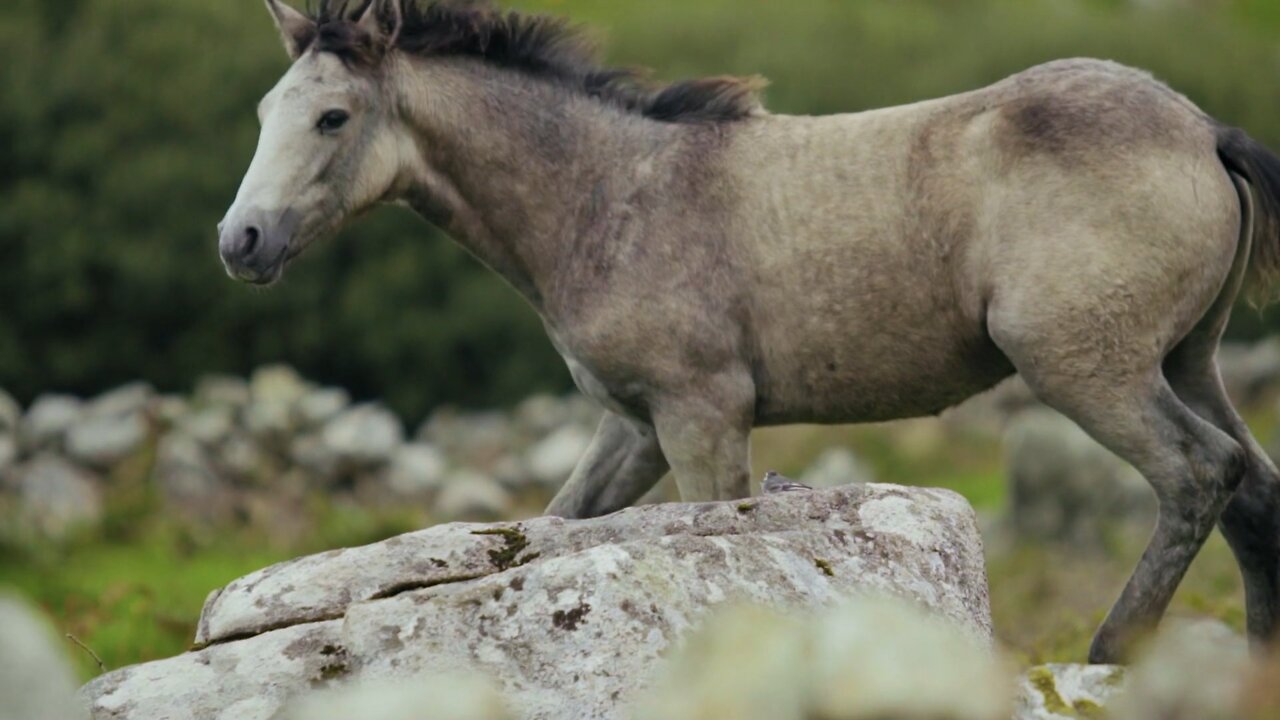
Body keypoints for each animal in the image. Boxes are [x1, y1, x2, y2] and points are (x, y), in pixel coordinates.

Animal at [222, 0, 1280, 661]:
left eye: (332, 117)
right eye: (267, 107)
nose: (241, 241)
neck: (607, 196)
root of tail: (1203, 130)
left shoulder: (702, 416)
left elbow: (719, 543)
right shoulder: (635, 426)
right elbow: (559, 522)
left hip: (1087, 368)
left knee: (1200, 473)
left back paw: (1114, 652)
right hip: (1186, 360)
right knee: (1254, 488)